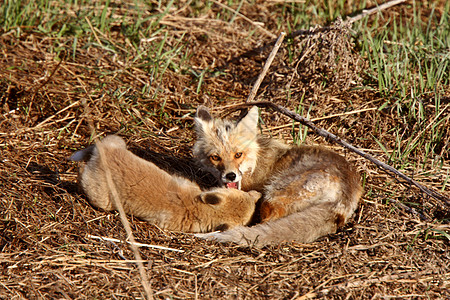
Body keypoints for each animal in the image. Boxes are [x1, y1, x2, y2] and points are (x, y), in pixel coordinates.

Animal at [70, 135, 260, 233]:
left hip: (117, 142)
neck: (195, 207)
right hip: (100, 198)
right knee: (82, 175)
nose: (257, 194)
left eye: (243, 194)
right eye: (248, 219)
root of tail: (101, 155)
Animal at [193, 105, 362, 246]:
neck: (254, 163)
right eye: (215, 157)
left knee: (265, 223)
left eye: (238, 155)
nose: (230, 176)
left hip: (273, 196)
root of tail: (346, 193)